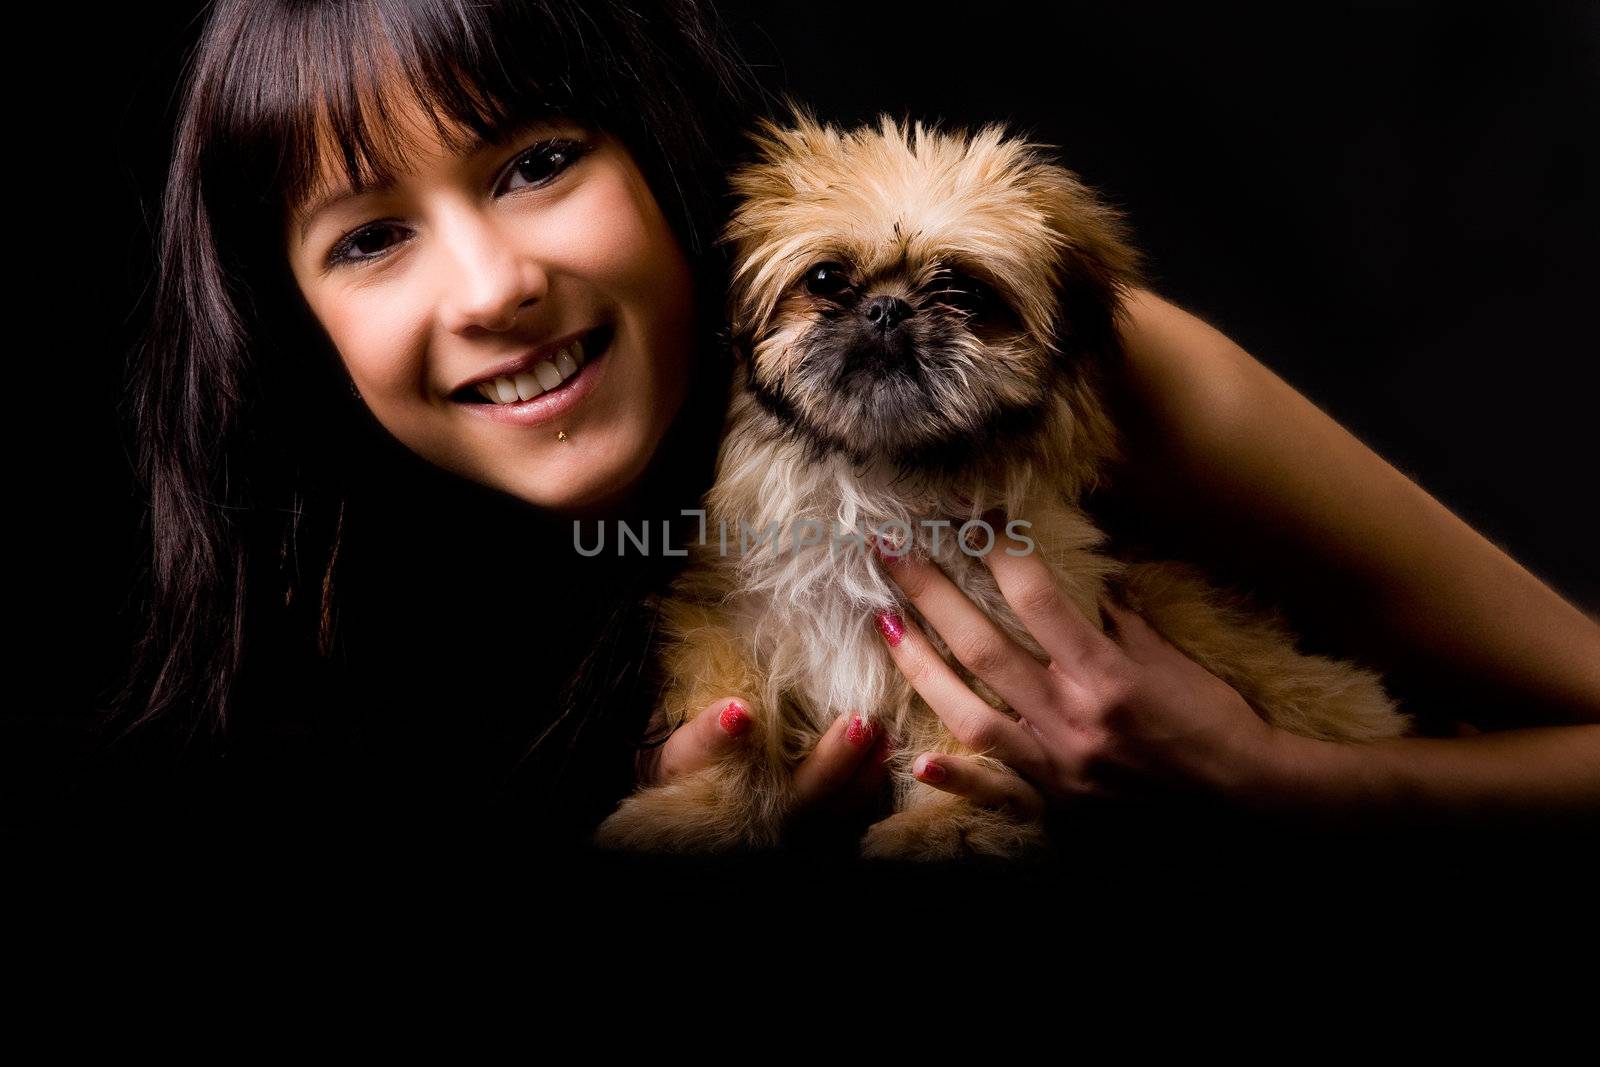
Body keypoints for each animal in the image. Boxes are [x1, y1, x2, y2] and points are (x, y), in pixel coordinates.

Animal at [592, 103, 1414, 863]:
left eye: (965, 294)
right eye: (825, 279)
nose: (886, 310)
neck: (880, 477)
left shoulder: (997, 630)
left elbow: (959, 740)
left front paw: (946, 825)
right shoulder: (731, 620)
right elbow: (737, 718)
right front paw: (701, 812)